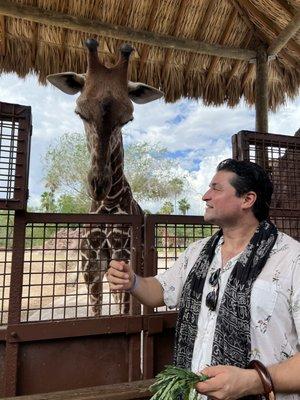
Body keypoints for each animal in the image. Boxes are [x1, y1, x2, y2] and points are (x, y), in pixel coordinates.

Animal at [47, 39, 163, 316]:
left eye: (128, 118)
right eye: (80, 112)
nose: (99, 184)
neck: (109, 202)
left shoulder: (123, 257)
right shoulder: (91, 267)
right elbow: (97, 313)